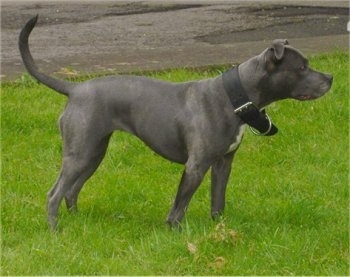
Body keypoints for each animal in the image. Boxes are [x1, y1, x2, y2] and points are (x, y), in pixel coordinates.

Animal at [19, 14, 334, 229]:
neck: (234, 96)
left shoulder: (223, 163)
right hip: (81, 153)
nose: (330, 78)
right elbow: (180, 205)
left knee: (71, 191)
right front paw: (176, 231)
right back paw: (55, 231)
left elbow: (217, 201)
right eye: (302, 67)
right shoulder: (196, 166)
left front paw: (219, 228)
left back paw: (78, 221)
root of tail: (74, 89)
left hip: (93, 153)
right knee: (55, 193)